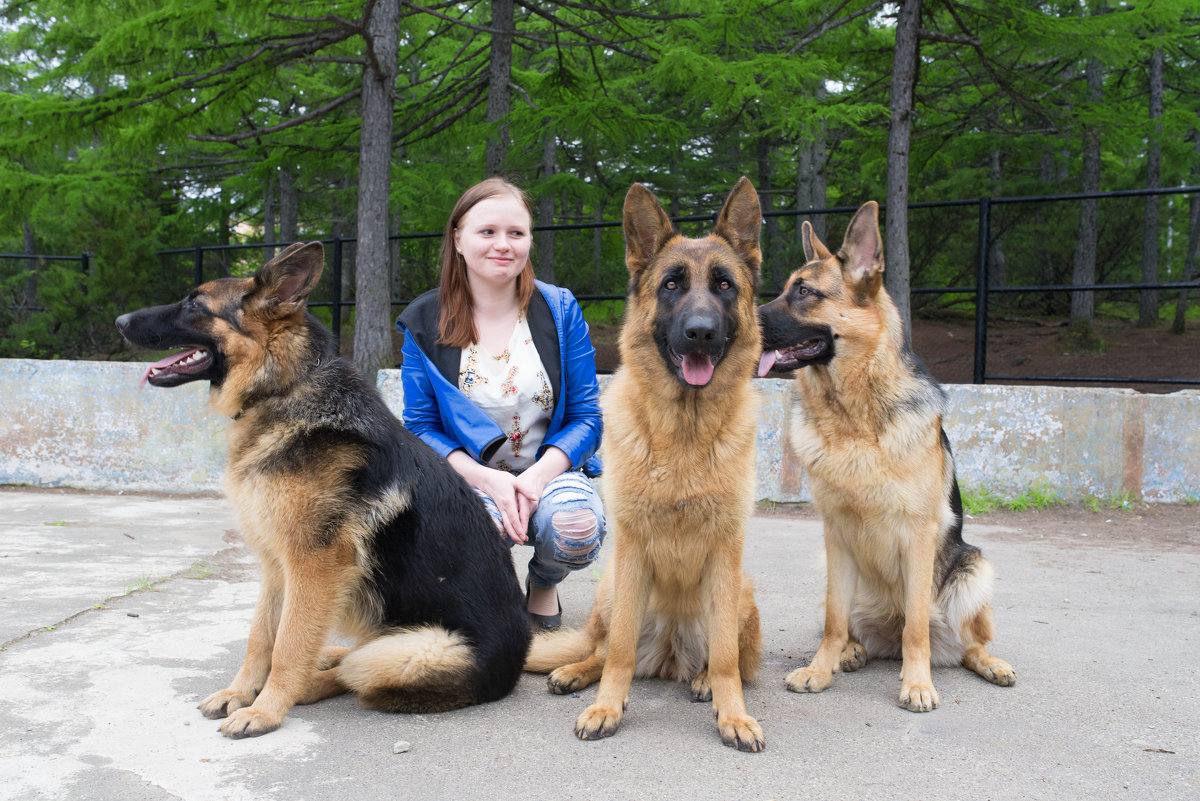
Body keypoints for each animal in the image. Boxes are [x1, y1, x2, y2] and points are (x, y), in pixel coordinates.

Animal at [117, 242, 530, 738]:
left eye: (194, 305)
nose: (119, 322)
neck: (283, 387)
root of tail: (518, 659)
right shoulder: (277, 564)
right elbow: (261, 636)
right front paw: (240, 692)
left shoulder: (312, 565)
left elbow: (288, 645)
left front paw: (265, 709)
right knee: (345, 654)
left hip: (411, 650)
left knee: (354, 671)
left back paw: (309, 684)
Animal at [528, 176, 768, 753]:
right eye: (672, 285)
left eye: (724, 285)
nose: (700, 332)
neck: (684, 433)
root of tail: (668, 655)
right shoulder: (633, 550)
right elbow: (616, 653)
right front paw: (606, 708)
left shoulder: (726, 552)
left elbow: (727, 658)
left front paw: (732, 713)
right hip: (614, 588)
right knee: (603, 650)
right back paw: (577, 673)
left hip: (742, 592)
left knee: (725, 656)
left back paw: (702, 682)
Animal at [758, 201, 1012, 714]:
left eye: (804, 292)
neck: (855, 420)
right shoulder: (834, 533)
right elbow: (834, 622)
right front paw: (820, 669)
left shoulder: (918, 534)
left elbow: (917, 625)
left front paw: (917, 684)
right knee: (850, 626)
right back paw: (849, 654)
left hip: (973, 571)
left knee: (963, 642)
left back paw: (987, 662)